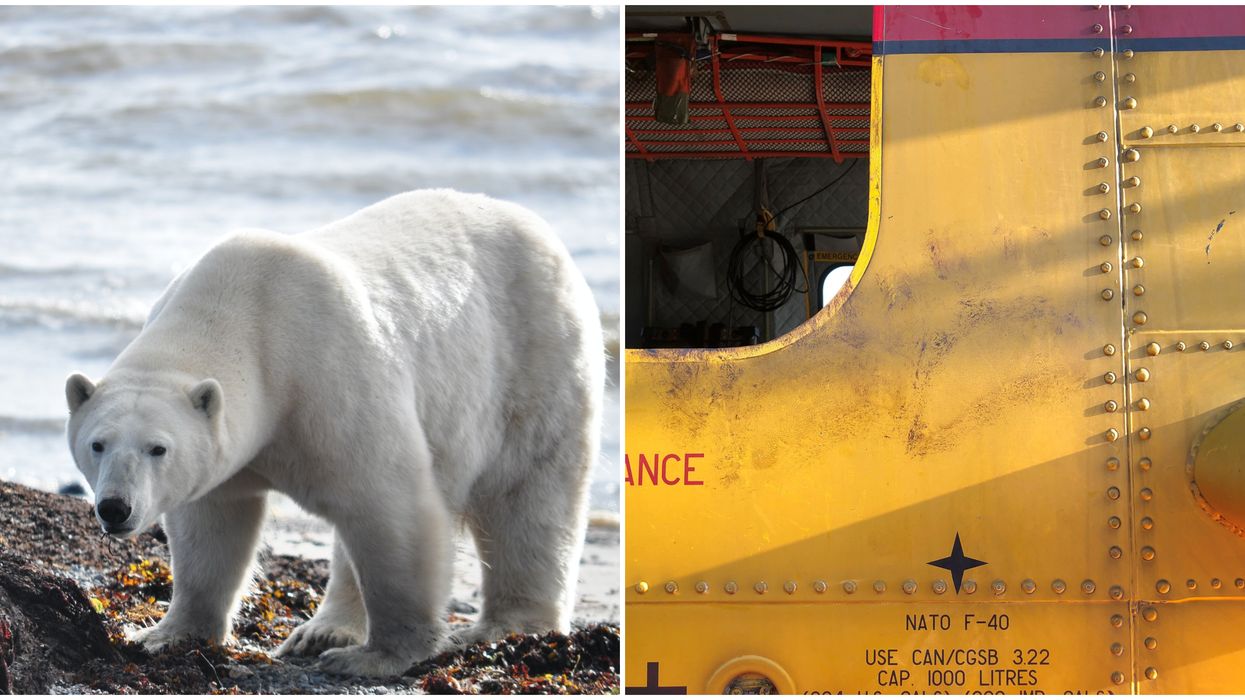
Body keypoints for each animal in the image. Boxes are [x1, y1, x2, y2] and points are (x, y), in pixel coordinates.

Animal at [64, 190, 604, 677]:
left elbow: (390, 504)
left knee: (527, 498)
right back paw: (322, 631)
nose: (115, 508)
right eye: (97, 444)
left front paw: (377, 657)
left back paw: (509, 626)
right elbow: (213, 526)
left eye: (158, 448)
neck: (248, 317)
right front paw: (164, 635)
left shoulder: (329, 379)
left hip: (534, 361)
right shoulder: (232, 448)